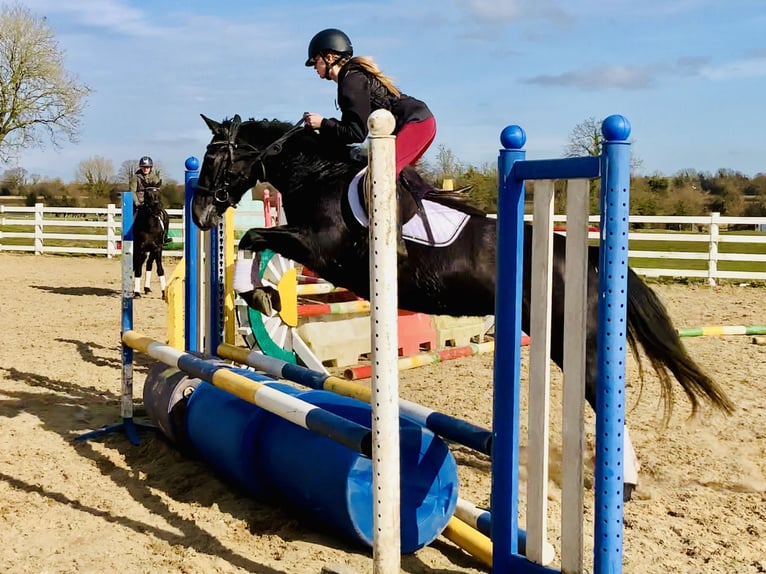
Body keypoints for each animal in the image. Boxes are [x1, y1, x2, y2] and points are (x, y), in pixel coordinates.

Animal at [190, 113, 736, 500]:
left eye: (215, 159)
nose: (198, 215)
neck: (317, 175)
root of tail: (592, 255)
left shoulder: (321, 250)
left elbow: (254, 239)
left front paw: (261, 294)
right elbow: (257, 244)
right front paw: (261, 295)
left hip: (570, 340)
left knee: (602, 395)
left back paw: (622, 482)